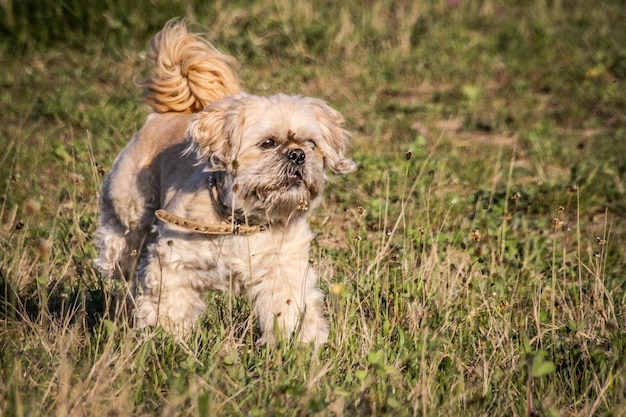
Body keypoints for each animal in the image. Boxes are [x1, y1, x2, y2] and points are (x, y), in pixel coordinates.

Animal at [94, 19, 354, 344]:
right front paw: (165, 341)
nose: (297, 155)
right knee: (121, 243)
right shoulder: (174, 264)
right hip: (127, 206)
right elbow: (168, 308)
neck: (242, 220)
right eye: (268, 143)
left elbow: (289, 309)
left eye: (311, 144)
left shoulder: (283, 269)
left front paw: (298, 345)